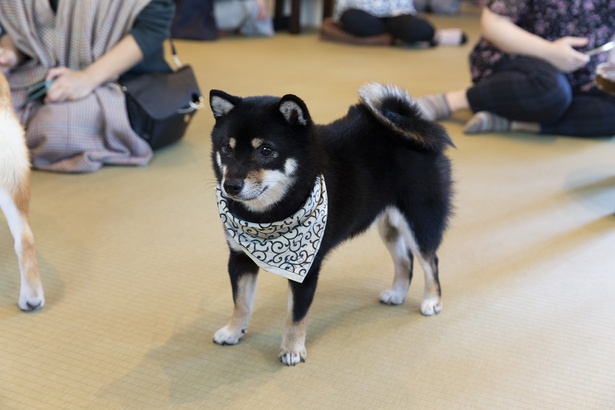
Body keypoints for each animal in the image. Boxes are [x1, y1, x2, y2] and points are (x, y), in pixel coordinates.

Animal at [209, 82, 454, 366]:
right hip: (388, 225)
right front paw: (233, 331)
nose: (231, 185)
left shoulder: (306, 269)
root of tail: (413, 122)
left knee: (430, 261)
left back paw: (432, 300)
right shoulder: (239, 258)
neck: (265, 217)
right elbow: (241, 303)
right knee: (406, 260)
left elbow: (295, 316)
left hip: (419, 222)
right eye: (227, 149)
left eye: (266, 151)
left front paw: (292, 349)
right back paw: (397, 293)